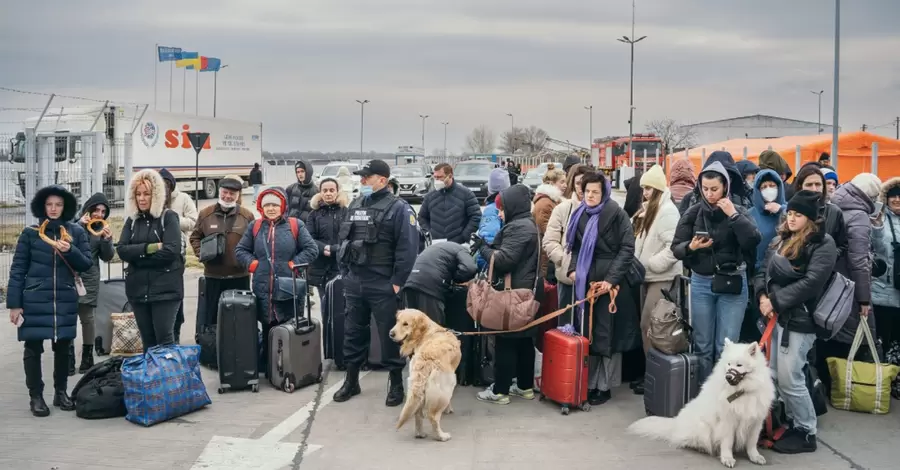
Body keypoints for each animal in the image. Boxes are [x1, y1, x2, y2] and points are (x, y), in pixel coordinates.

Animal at [628, 340, 776, 468]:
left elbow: (752, 442)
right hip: (702, 427)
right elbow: (727, 442)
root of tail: (676, 423)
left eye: (739, 365)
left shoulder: (756, 421)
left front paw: (755, 457)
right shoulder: (727, 421)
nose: (728, 377)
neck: (742, 392)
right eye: (729, 364)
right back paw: (702, 448)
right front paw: (727, 458)